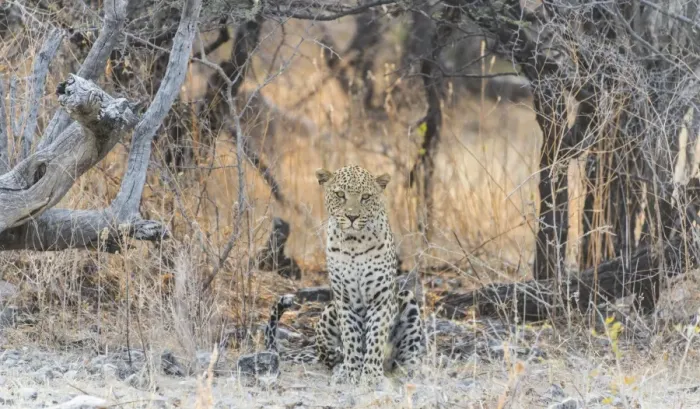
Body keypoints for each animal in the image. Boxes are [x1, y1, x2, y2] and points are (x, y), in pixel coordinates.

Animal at [263, 165, 426, 385]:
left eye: (366, 197)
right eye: (340, 195)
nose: (352, 217)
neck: (354, 243)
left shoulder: (381, 299)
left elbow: (375, 338)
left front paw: (371, 375)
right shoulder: (344, 300)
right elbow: (351, 339)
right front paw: (352, 373)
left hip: (406, 299)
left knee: (406, 354)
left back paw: (410, 370)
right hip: (329, 311)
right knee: (331, 357)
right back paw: (340, 369)